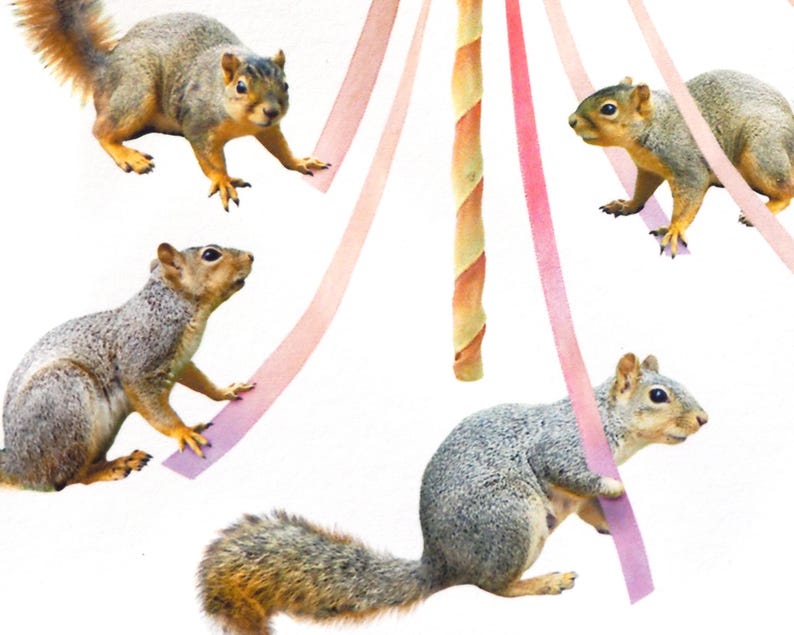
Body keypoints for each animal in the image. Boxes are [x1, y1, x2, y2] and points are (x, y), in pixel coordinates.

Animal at [0, 243, 254, 491]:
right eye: (211, 254)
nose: (250, 256)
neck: (171, 307)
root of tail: (18, 466)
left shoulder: (181, 362)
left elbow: (199, 381)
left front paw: (225, 391)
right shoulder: (140, 360)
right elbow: (152, 406)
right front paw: (183, 432)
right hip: (63, 398)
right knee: (70, 478)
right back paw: (112, 467)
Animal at [15, 0, 329, 210]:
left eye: (286, 85)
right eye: (241, 87)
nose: (272, 111)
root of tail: (105, 71)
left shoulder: (267, 128)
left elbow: (280, 147)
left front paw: (299, 161)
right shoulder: (198, 123)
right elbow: (211, 160)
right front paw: (223, 180)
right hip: (136, 92)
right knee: (102, 129)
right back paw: (126, 154)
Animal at [198, 353, 708, 635]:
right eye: (659, 396)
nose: (704, 419)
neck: (609, 424)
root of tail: (442, 563)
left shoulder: (576, 493)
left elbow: (587, 508)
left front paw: (609, 524)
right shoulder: (562, 447)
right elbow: (569, 472)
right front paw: (618, 486)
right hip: (509, 519)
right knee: (494, 586)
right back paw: (543, 582)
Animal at [568, 70, 794, 256]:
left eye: (608, 109)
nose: (571, 120)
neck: (655, 123)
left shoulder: (688, 167)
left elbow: (687, 201)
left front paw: (674, 230)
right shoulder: (648, 169)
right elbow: (642, 190)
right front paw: (627, 205)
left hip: (762, 152)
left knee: (786, 190)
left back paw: (764, 210)